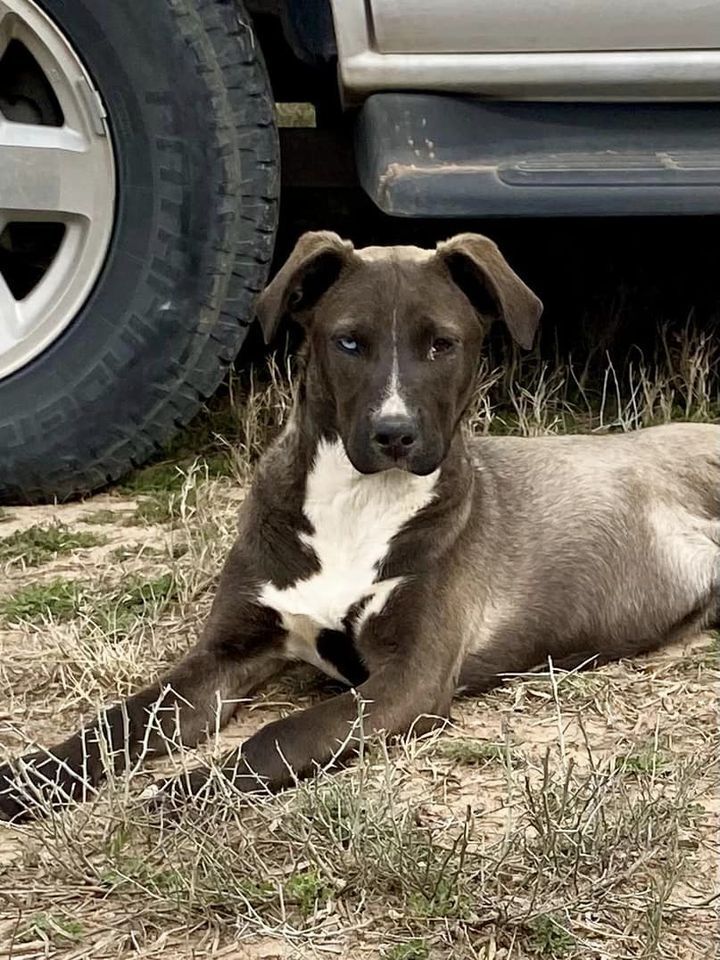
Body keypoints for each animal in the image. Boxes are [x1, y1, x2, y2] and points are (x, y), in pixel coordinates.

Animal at [1, 231, 720, 816]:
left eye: (441, 345)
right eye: (348, 341)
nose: (394, 435)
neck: (359, 502)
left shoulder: (410, 677)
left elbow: (282, 734)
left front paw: (192, 791)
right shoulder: (225, 653)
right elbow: (120, 720)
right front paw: (32, 778)